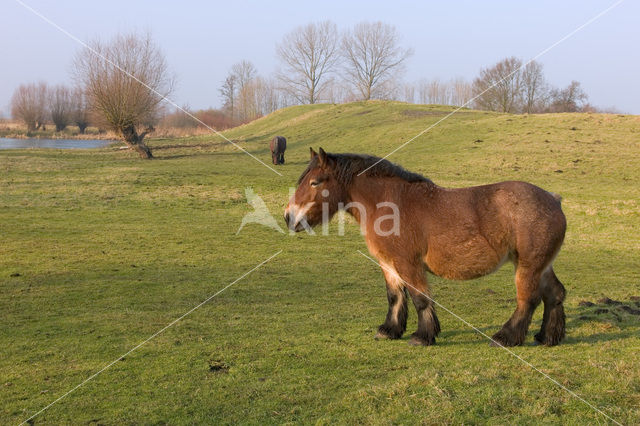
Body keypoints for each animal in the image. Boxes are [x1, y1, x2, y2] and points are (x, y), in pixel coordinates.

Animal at [284, 148, 564, 348]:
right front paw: (390, 330)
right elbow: (395, 297)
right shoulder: (388, 263)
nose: (288, 217)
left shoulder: (408, 263)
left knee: (527, 300)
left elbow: (420, 298)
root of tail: (554, 199)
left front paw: (422, 336)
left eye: (315, 182)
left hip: (528, 266)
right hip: (542, 266)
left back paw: (506, 337)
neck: (389, 204)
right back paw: (547, 337)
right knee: (555, 294)